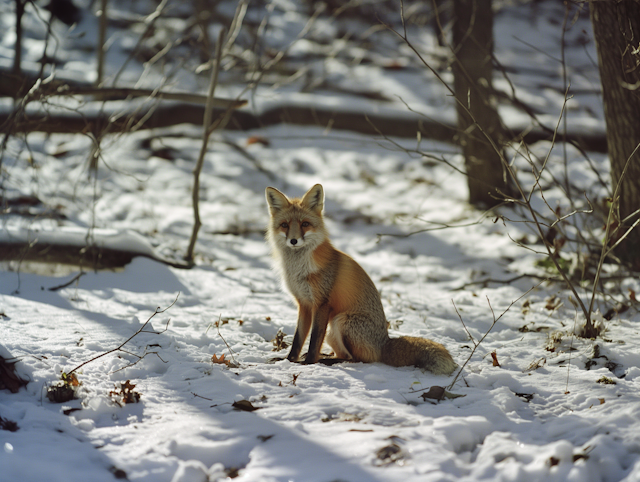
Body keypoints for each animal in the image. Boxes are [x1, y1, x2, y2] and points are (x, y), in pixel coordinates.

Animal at [264, 183, 456, 374]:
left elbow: (313, 341)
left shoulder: (322, 303)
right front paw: (288, 360)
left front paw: (308, 363)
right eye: (284, 225)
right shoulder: (303, 304)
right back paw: (327, 357)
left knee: (361, 360)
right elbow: (298, 339)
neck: (299, 270)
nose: (293, 241)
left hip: (341, 321)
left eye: (305, 224)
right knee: (345, 355)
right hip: (332, 332)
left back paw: (326, 361)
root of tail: (384, 343)